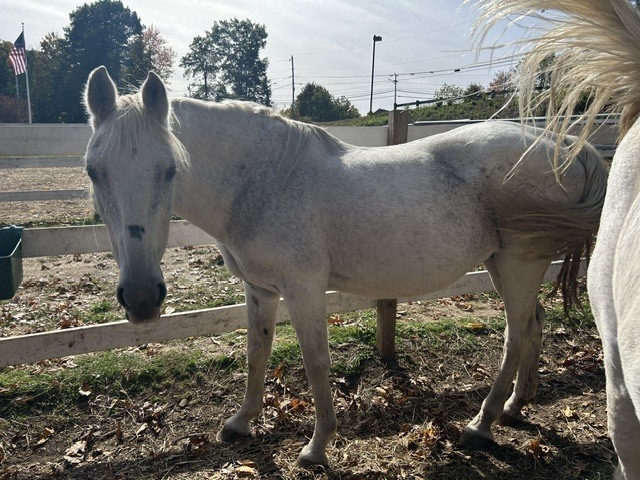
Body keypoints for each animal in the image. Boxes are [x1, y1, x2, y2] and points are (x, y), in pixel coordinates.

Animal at [83, 66, 607, 466]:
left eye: (170, 169)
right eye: (93, 171)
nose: (142, 298)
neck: (264, 181)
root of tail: (563, 144)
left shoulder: (303, 290)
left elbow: (316, 364)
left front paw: (317, 447)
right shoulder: (261, 289)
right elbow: (256, 354)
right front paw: (241, 422)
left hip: (518, 264)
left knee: (516, 335)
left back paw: (482, 425)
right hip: (505, 266)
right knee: (535, 323)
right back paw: (518, 405)